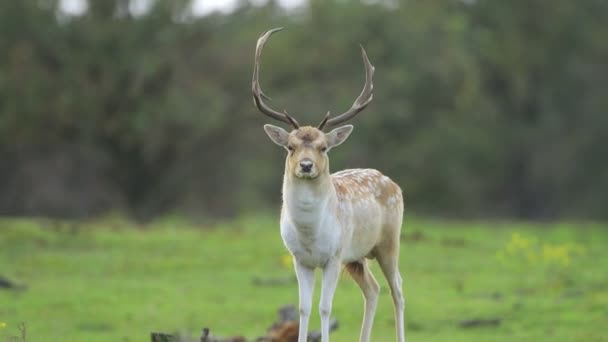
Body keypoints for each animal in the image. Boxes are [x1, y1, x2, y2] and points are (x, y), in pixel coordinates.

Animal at [253, 27, 408, 342]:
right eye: (290, 146)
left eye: (323, 147)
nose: (306, 165)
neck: (310, 235)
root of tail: (393, 184)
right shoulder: (299, 259)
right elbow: (303, 308)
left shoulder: (333, 256)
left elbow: (325, 307)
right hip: (357, 256)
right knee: (373, 289)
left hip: (388, 242)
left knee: (398, 289)